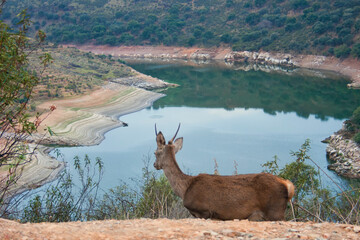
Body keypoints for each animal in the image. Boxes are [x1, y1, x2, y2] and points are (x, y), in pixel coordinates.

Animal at [153, 124, 294, 220]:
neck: (185, 189)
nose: (155, 165)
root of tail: (288, 185)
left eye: (155, 153)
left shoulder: (204, 211)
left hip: (275, 211)